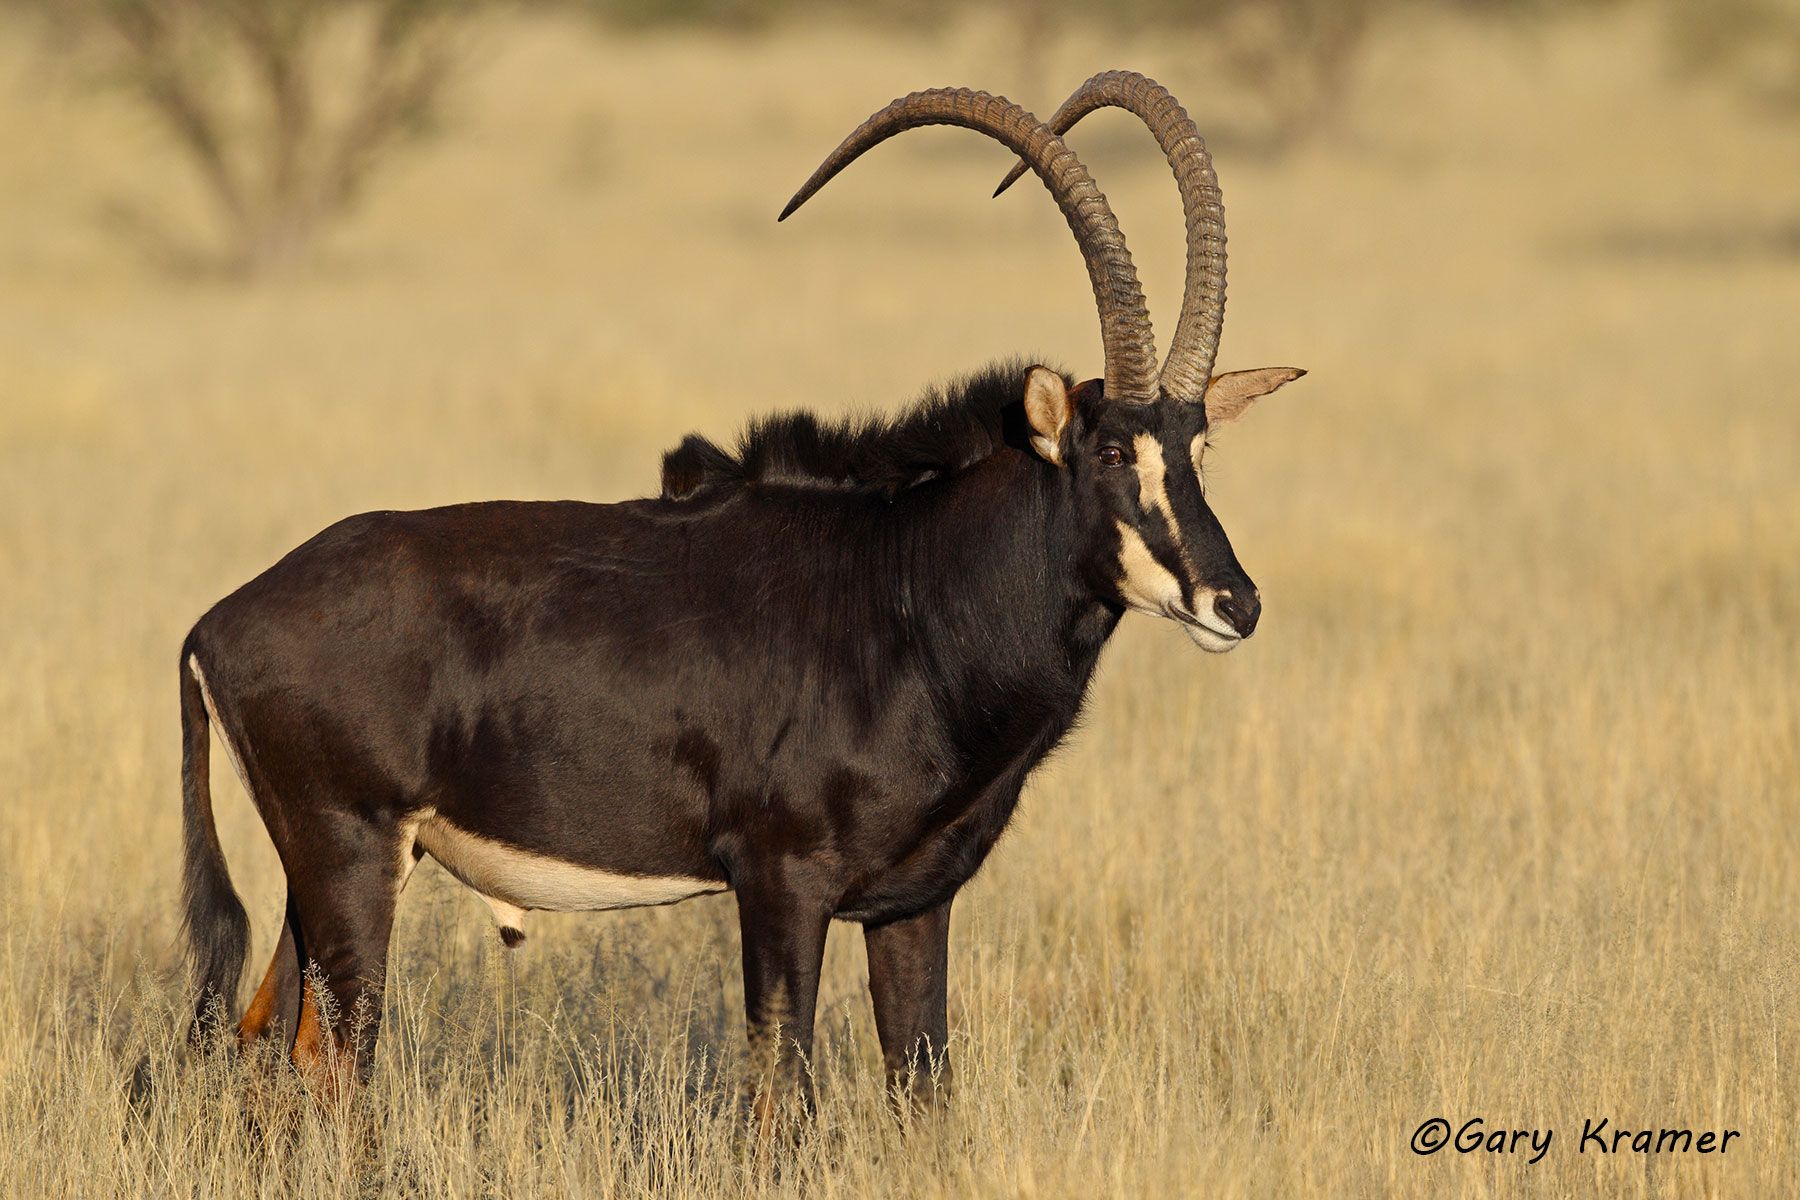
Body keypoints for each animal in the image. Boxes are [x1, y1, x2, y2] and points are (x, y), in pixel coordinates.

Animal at [179, 72, 1310, 1108]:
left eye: (1198, 446)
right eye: (1112, 451)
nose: (1236, 604)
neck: (910, 590)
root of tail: (216, 624)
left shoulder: (910, 905)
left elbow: (923, 1090)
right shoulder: (780, 882)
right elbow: (780, 1096)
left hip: (326, 874)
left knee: (269, 1041)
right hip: (351, 854)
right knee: (336, 1066)